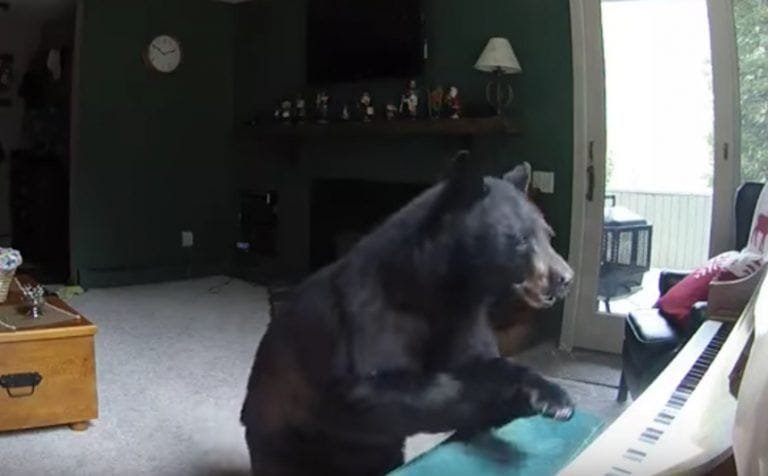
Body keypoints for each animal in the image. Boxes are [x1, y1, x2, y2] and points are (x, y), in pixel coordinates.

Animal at [241, 151, 575, 476]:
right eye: (520, 239)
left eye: (549, 234)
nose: (565, 278)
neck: (438, 290)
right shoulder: (370, 316)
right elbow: (372, 391)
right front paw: (508, 395)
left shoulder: (465, 317)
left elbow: (481, 359)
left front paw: (550, 395)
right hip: (282, 439)